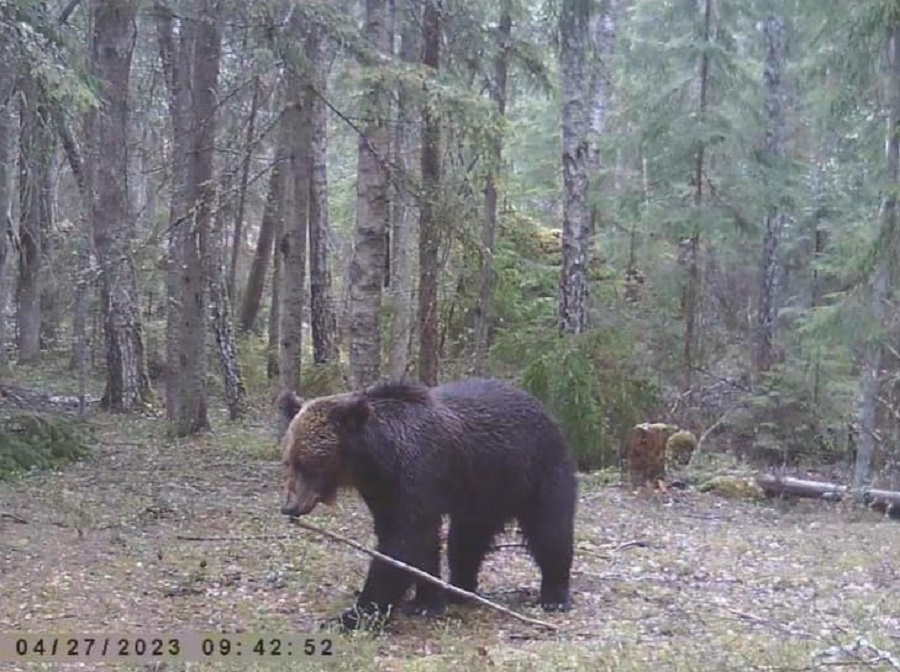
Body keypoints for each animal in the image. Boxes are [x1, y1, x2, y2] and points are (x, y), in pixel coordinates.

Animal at [277, 378, 577, 630]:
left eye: (309, 465)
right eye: (289, 461)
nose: (290, 507)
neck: (377, 459)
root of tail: (545, 410)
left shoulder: (419, 472)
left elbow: (403, 541)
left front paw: (356, 614)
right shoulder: (383, 491)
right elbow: (418, 542)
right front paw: (425, 601)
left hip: (537, 472)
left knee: (550, 531)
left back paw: (554, 595)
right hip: (482, 495)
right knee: (466, 541)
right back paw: (460, 589)